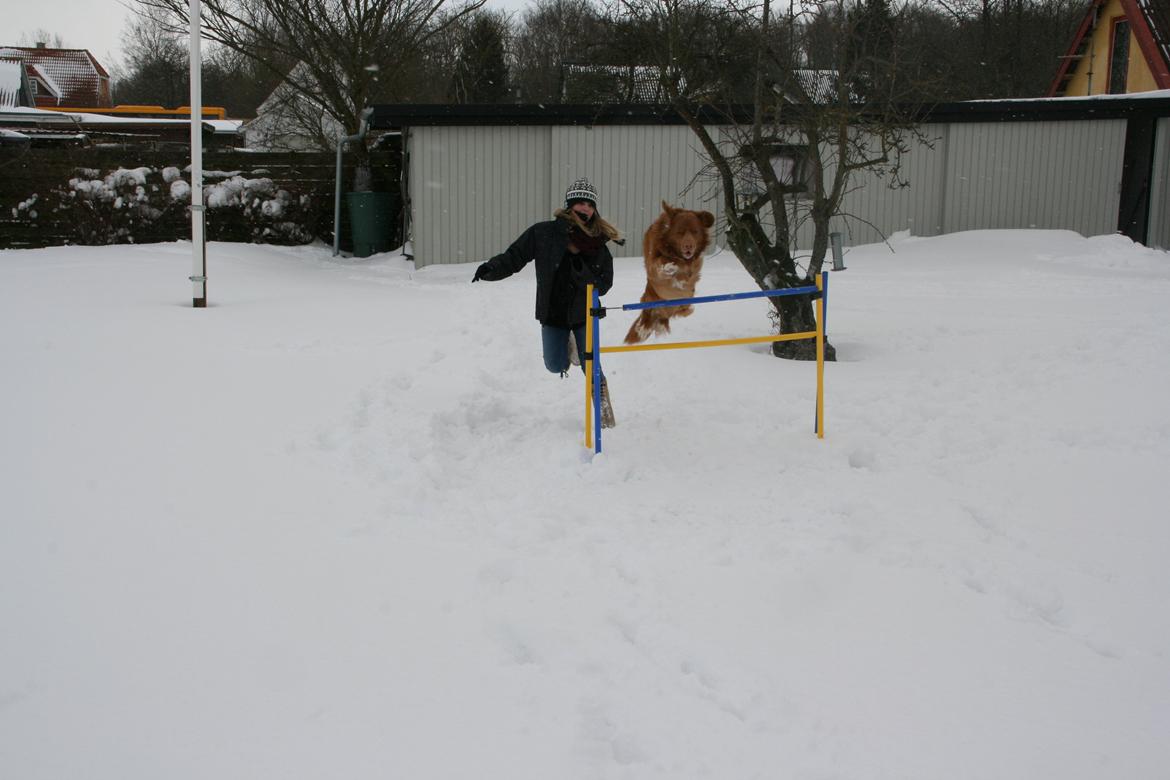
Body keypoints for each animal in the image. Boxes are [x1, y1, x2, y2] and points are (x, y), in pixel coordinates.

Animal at [627, 199, 716, 343]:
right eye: (680, 232)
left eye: (695, 231)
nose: (689, 246)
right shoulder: (654, 266)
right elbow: (660, 263)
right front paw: (670, 267)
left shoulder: (693, 270)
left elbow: (688, 277)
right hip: (650, 297)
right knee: (646, 314)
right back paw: (642, 328)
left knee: (683, 310)